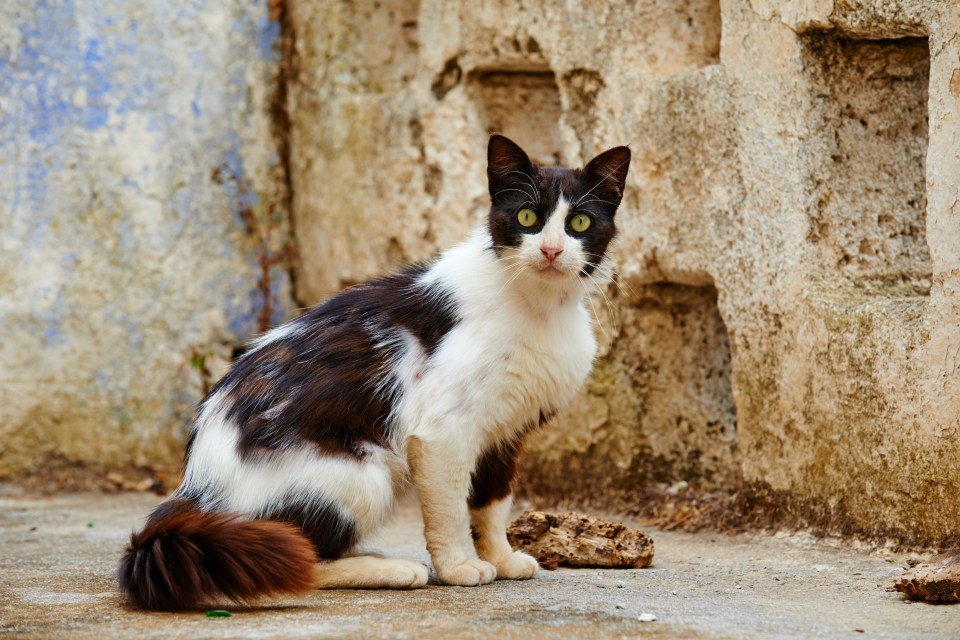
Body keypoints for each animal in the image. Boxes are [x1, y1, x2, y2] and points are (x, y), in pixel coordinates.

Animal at [118, 134, 632, 608]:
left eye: (579, 222)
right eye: (527, 218)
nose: (551, 251)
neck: (539, 305)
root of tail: (194, 491)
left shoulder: (505, 431)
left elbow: (492, 501)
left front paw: (501, 557)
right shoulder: (442, 432)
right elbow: (449, 507)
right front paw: (460, 566)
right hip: (360, 474)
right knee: (298, 557)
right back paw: (390, 569)